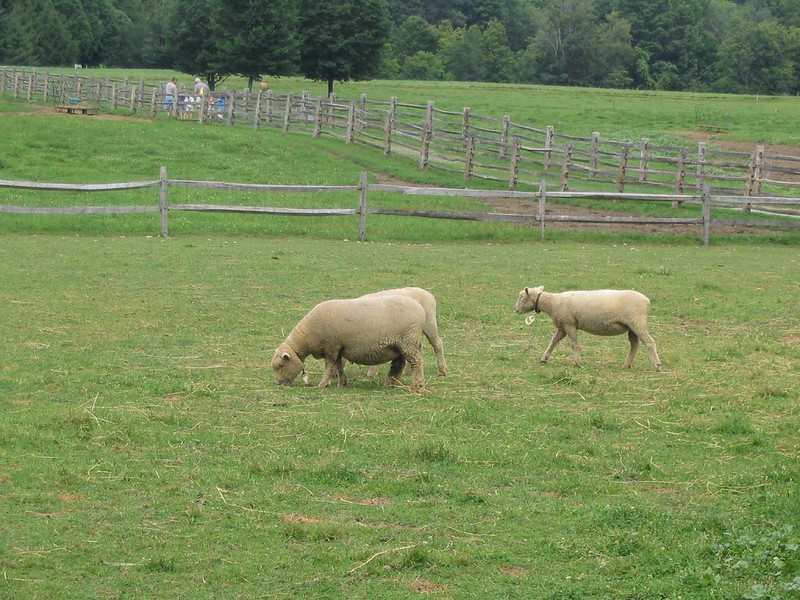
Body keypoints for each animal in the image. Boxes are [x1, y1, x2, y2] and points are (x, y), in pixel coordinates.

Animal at [272, 294, 424, 390]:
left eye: (280, 366)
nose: (279, 383)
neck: (308, 334)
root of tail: (420, 310)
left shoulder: (331, 346)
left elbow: (329, 366)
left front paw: (323, 384)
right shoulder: (339, 347)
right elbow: (338, 365)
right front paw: (342, 383)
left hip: (408, 341)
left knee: (416, 361)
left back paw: (417, 384)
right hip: (399, 345)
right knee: (399, 363)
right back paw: (390, 383)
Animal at [512, 286, 664, 370]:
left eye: (521, 296)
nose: (516, 310)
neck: (552, 303)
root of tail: (647, 301)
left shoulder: (569, 323)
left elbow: (574, 344)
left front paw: (577, 362)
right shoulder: (563, 325)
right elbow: (554, 341)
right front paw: (544, 358)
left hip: (637, 322)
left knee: (649, 342)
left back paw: (657, 365)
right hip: (631, 326)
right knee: (635, 345)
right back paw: (626, 365)